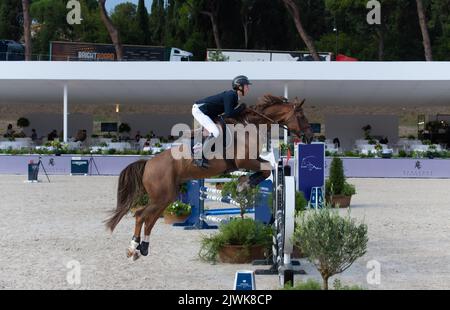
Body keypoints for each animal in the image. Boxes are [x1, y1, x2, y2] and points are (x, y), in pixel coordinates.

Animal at [105, 94, 312, 260]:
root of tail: (148, 164)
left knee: (150, 219)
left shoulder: (250, 160)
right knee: (141, 215)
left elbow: (266, 168)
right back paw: (132, 248)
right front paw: (244, 184)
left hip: (166, 197)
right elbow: (267, 169)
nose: (309, 137)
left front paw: (243, 183)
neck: (251, 126)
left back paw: (143, 248)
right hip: (161, 196)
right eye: (301, 116)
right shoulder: (244, 160)